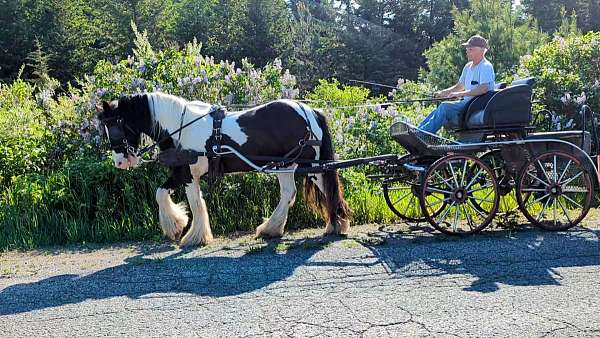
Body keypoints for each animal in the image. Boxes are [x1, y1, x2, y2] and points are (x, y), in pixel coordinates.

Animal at [96, 93, 352, 247]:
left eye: (114, 125)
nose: (119, 162)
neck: (180, 127)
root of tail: (309, 110)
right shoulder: (182, 173)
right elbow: (164, 194)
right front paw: (179, 226)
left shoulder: (186, 174)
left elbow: (191, 203)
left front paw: (189, 235)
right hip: (297, 165)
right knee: (307, 192)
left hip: (301, 165)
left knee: (310, 192)